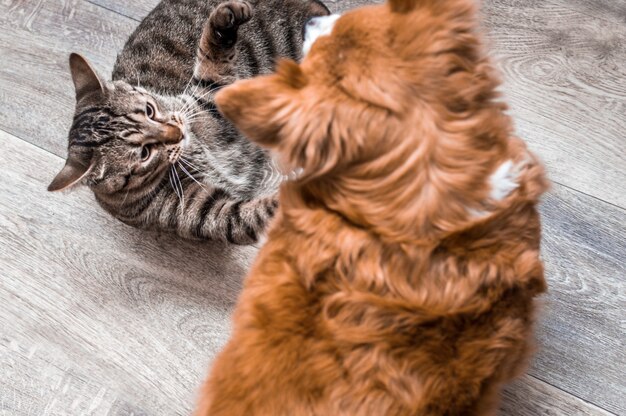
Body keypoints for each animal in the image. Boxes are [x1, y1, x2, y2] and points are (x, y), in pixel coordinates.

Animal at [47, 0, 330, 244]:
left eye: (149, 110)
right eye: (144, 153)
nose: (178, 132)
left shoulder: (206, 99)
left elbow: (211, 59)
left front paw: (223, 19)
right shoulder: (212, 213)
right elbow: (255, 212)